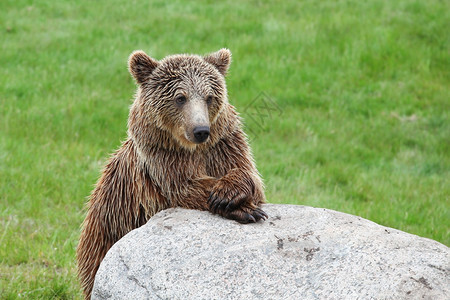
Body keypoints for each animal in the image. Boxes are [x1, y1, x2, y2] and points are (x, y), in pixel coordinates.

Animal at [76, 48, 268, 298]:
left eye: (209, 97)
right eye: (180, 97)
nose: (201, 130)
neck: (191, 149)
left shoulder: (223, 146)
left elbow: (249, 175)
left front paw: (231, 194)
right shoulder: (162, 162)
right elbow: (184, 188)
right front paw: (243, 209)